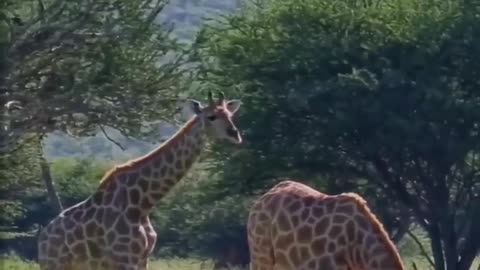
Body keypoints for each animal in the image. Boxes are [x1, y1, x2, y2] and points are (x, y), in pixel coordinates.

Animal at [36, 92, 244, 270]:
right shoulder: (124, 257)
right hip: (56, 264)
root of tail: (43, 240)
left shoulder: (143, 258)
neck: (142, 204)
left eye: (229, 115)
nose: (235, 134)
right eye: (211, 116)